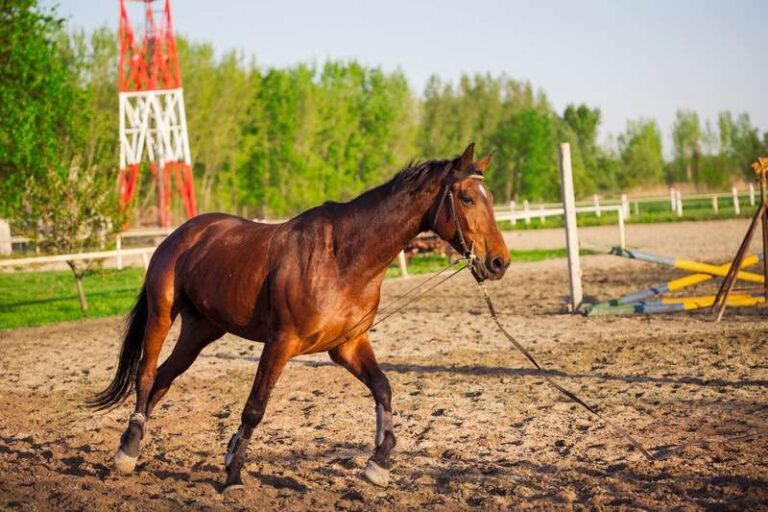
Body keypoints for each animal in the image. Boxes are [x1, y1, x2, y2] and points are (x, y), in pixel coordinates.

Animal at [89, 143, 510, 491]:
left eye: (490, 198)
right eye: (467, 198)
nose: (498, 262)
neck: (342, 258)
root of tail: (182, 233)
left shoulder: (348, 345)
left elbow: (383, 388)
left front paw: (378, 463)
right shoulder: (280, 342)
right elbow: (255, 407)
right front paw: (233, 473)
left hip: (201, 330)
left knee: (163, 379)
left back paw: (132, 447)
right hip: (163, 313)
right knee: (146, 375)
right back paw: (127, 452)